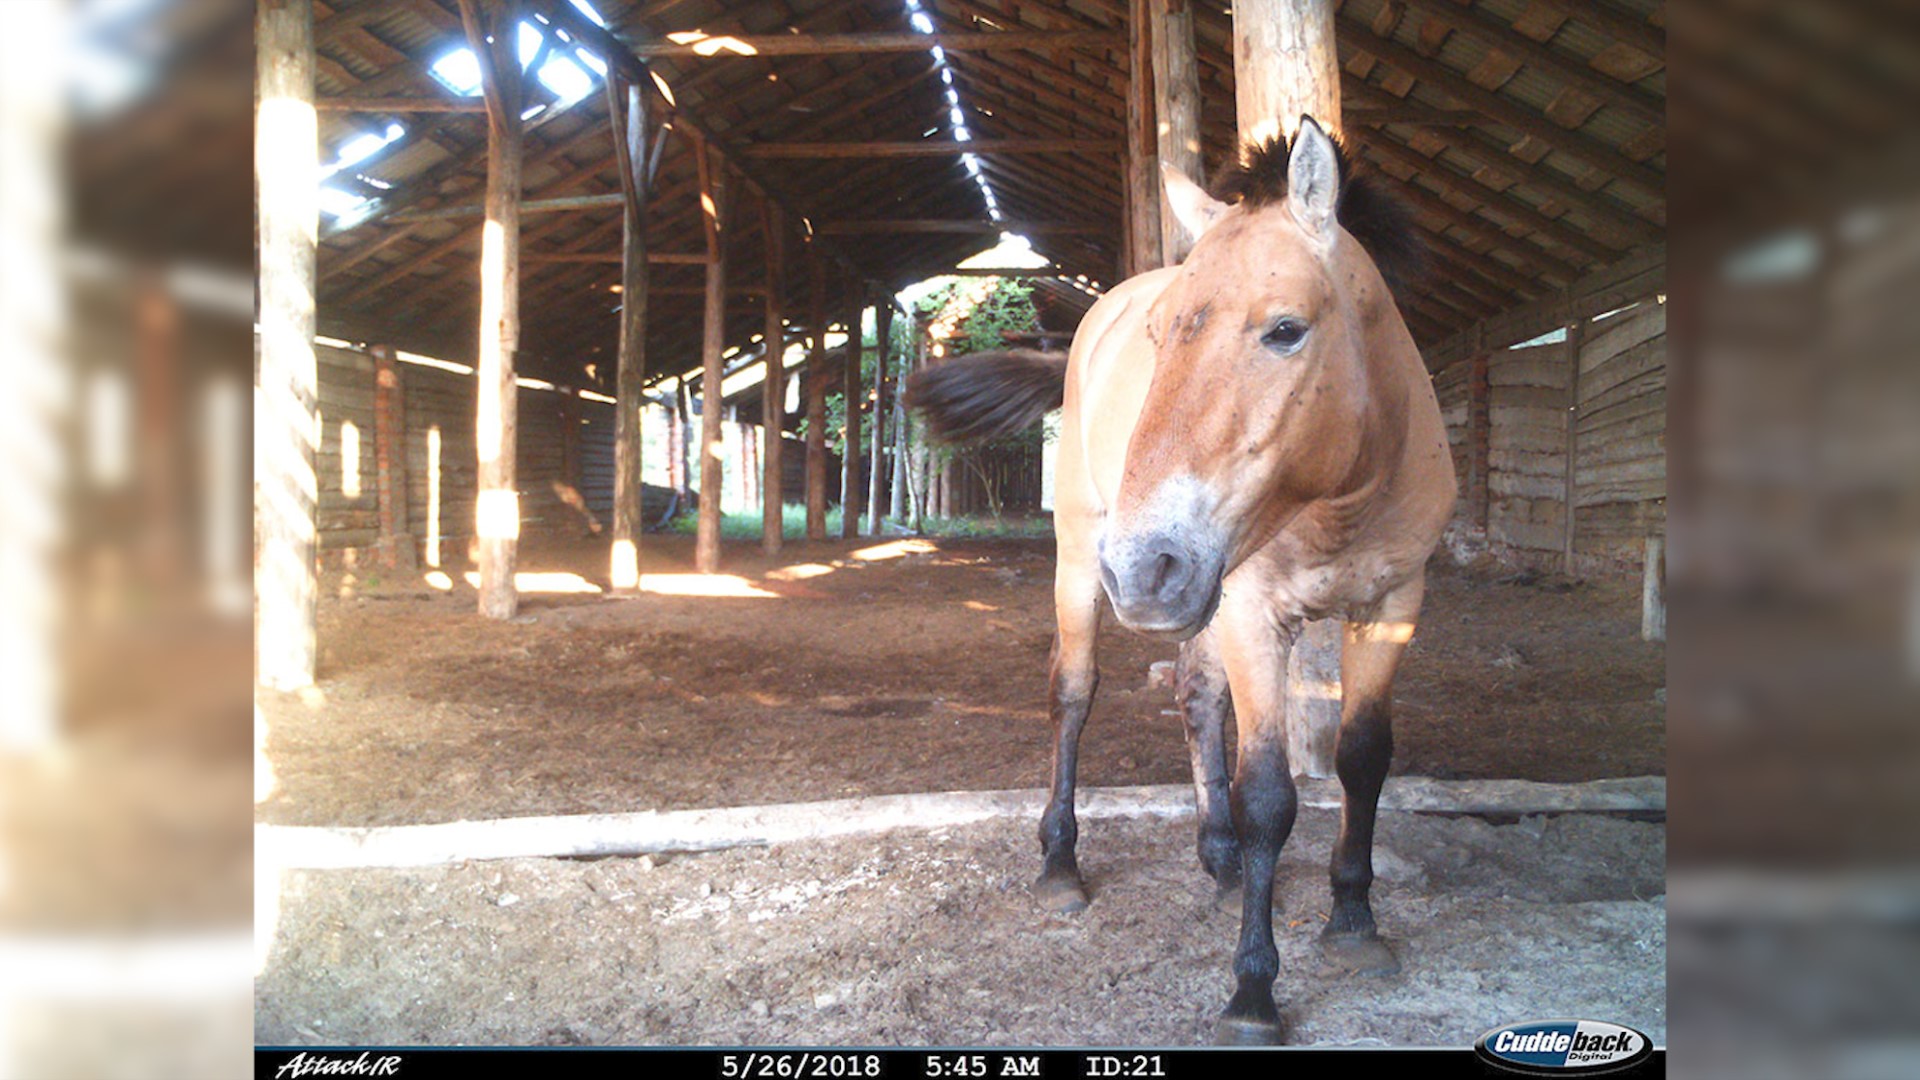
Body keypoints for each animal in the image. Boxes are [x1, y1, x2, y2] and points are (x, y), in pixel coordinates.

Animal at [907, 118, 1455, 1044]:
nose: (1142, 565)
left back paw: (1220, 855)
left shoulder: (1391, 606)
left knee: (1197, 698)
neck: (1343, 496)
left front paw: (1353, 920)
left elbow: (1362, 759)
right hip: (1091, 562)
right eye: (1162, 336)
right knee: (1073, 693)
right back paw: (1061, 865)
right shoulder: (1255, 611)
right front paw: (1253, 990)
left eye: (1285, 329)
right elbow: (1269, 793)